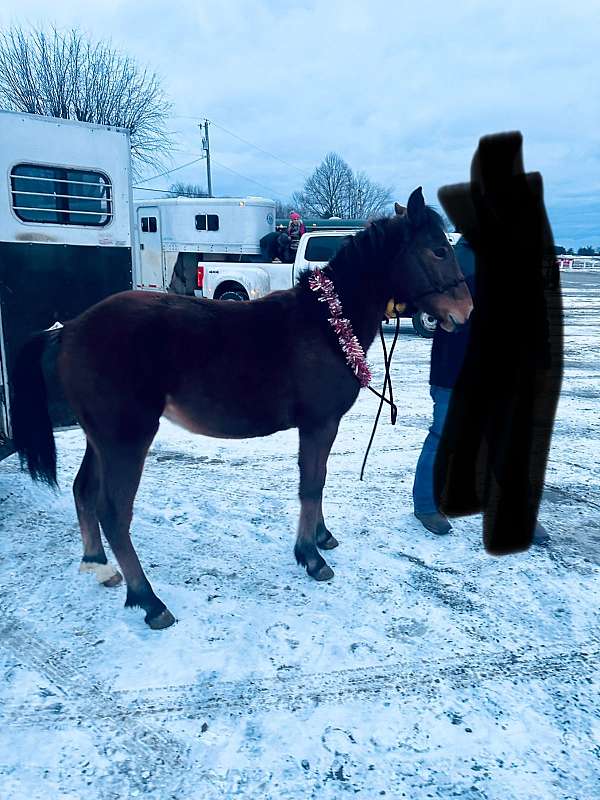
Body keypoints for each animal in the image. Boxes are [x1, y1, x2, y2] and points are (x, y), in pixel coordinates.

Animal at [11, 187, 473, 630]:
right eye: (438, 250)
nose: (464, 311)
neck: (328, 322)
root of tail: (70, 329)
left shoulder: (321, 426)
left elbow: (317, 479)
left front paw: (321, 537)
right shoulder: (319, 423)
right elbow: (311, 484)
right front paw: (311, 556)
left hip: (100, 438)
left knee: (83, 491)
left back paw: (98, 566)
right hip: (126, 438)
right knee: (114, 513)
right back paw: (149, 601)